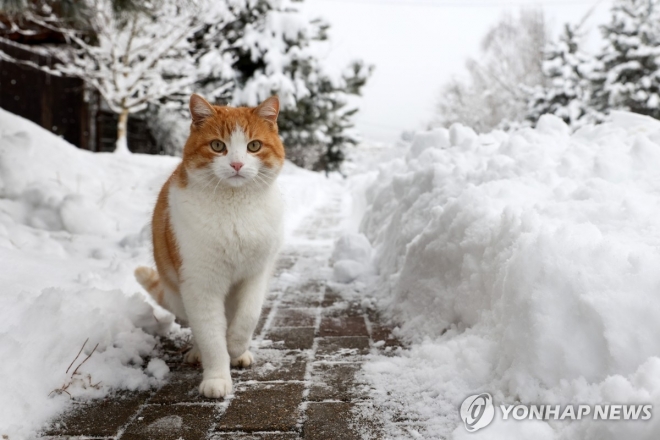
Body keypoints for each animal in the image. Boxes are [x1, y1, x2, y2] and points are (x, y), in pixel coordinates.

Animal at [135, 93, 284, 398]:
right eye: (218, 146)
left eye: (254, 146)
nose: (237, 165)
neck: (235, 208)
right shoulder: (199, 284)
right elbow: (210, 336)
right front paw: (216, 378)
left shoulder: (257, 274)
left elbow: (247, 316)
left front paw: (236, 346)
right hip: (179, 292)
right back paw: (197, 353)